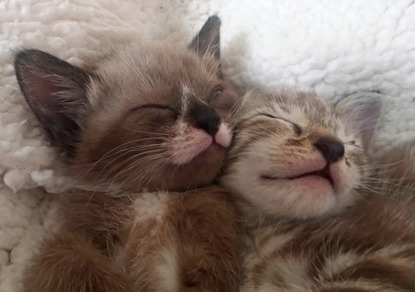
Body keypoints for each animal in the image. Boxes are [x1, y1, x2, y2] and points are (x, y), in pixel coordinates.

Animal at [15, 16, 244, 292]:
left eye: (216, 94)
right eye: (157, 107)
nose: (211, 119)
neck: (152, 198)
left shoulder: (211, 254)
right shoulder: (73, 238)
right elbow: (66, 254)